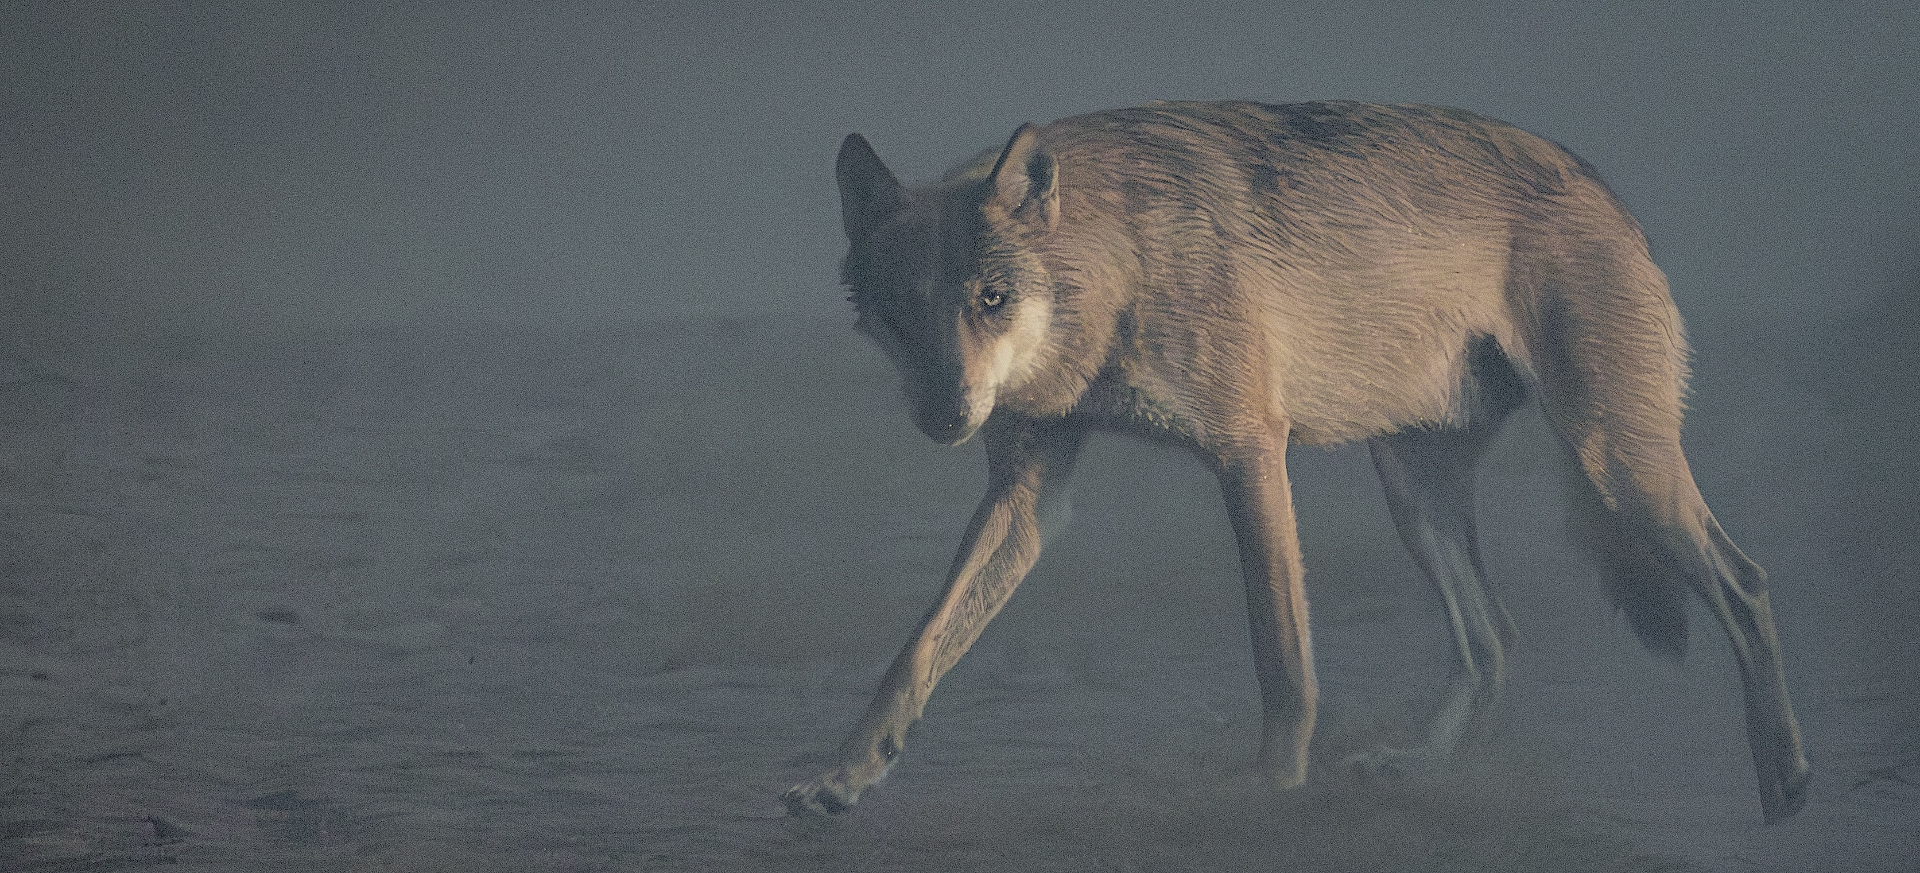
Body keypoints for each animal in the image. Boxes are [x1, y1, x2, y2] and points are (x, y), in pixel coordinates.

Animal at [782, 100, 1810, 823]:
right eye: (903, 312)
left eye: (991, 299)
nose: (946, 415)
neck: (1121, 267)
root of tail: (1605, 189)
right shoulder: (1027, 496)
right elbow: (918, 651)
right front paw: (842, 776)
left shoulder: (1250, 454)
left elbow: (1282, 656)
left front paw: (1268, 794)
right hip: (1415, 495)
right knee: (1496, 638)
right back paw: (1414, 768)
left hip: (1613, 463)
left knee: (1748, 583)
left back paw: (1786, 785)